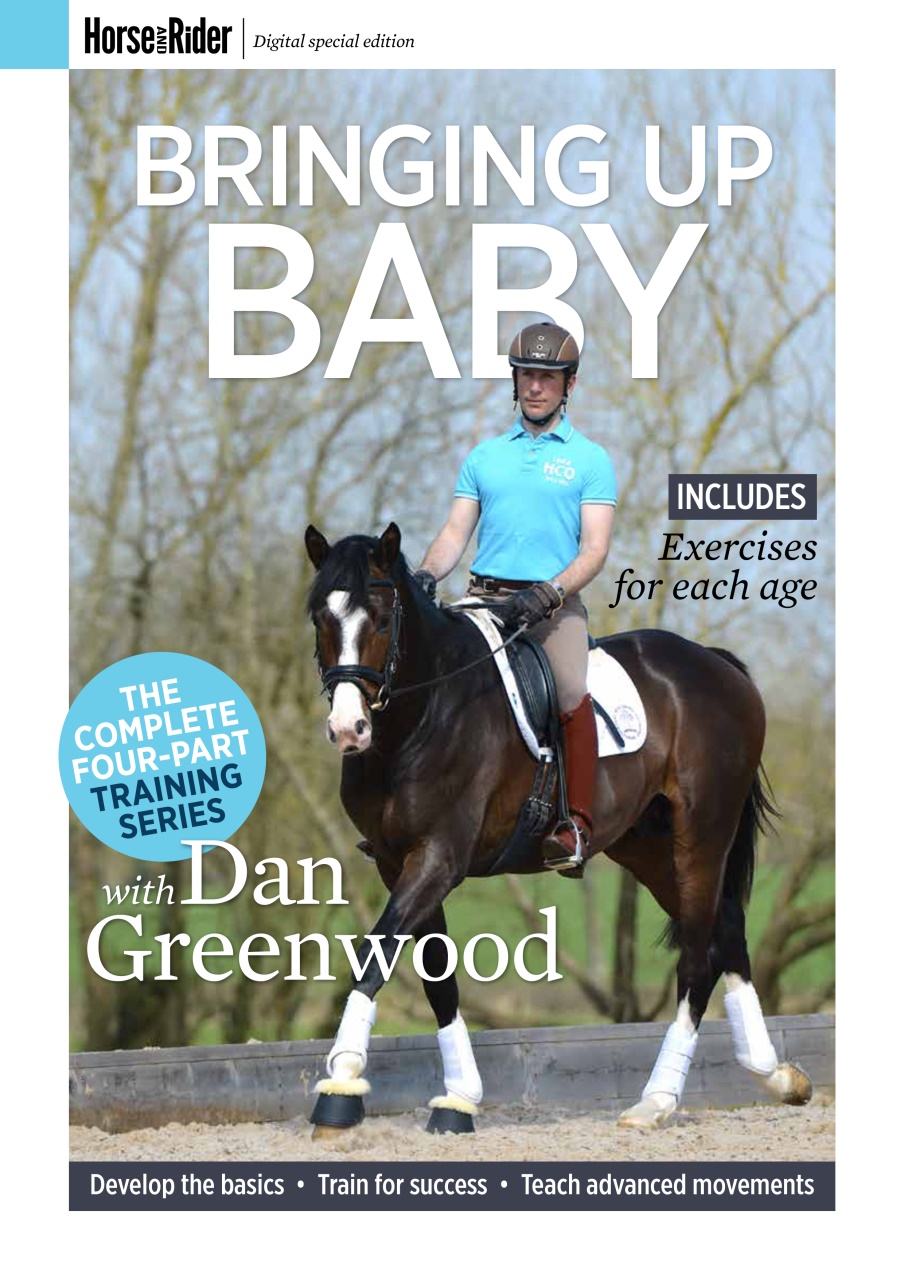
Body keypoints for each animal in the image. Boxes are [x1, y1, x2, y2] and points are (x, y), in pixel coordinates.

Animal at [303, 521, 812, 1134]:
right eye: (320, 618)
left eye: (379, 619)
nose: (347, 729)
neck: (424, 715)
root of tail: (716, 665)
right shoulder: (394, 860)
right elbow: (435, 973)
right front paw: (458, 1097)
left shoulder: (439, 857)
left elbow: (377, 951)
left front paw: (342, 1083)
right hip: (648, 846)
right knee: (727, 928)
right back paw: (773, 1074)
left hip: (702, 835)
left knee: (696, 954)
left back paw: (656, 1101)